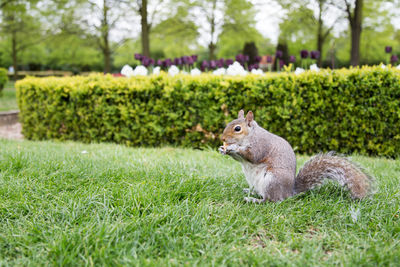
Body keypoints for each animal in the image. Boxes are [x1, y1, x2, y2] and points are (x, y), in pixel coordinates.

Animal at [217, 110, 374, 204]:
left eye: (237, 128)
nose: (222, 138)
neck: (251, 135)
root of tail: (289, 192)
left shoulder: (261, 145)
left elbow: (252, 156)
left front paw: (232, 148)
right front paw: (222, 149)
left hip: (272, 180)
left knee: (271, 200)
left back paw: (253, 199)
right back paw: (250, 191)